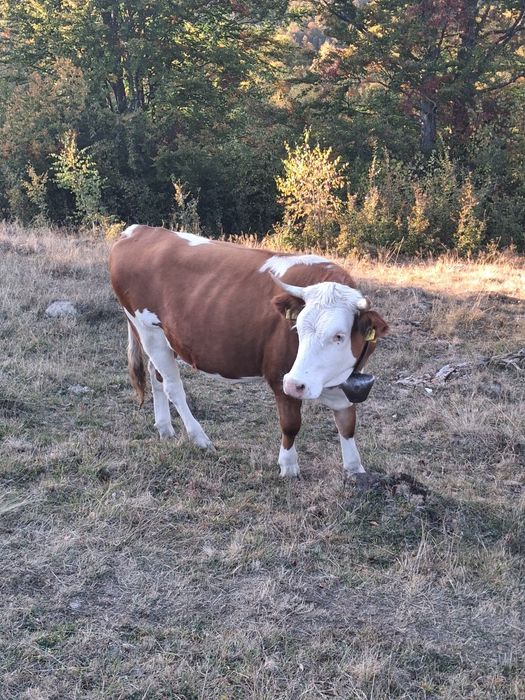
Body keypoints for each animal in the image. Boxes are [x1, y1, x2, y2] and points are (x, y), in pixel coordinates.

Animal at [109, 225, 388, 478]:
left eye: (339, 336)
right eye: (297, 329)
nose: (296, 383)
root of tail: (137, 230)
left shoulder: (346, 381)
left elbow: (347, 424)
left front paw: (355, 469)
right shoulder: (279, 375)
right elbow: (291, 424)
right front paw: (288, 467)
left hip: (161, 336)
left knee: (155, 375)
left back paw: (165, 428)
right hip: (148, 329)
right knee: (172, 387)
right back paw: (200, 438)